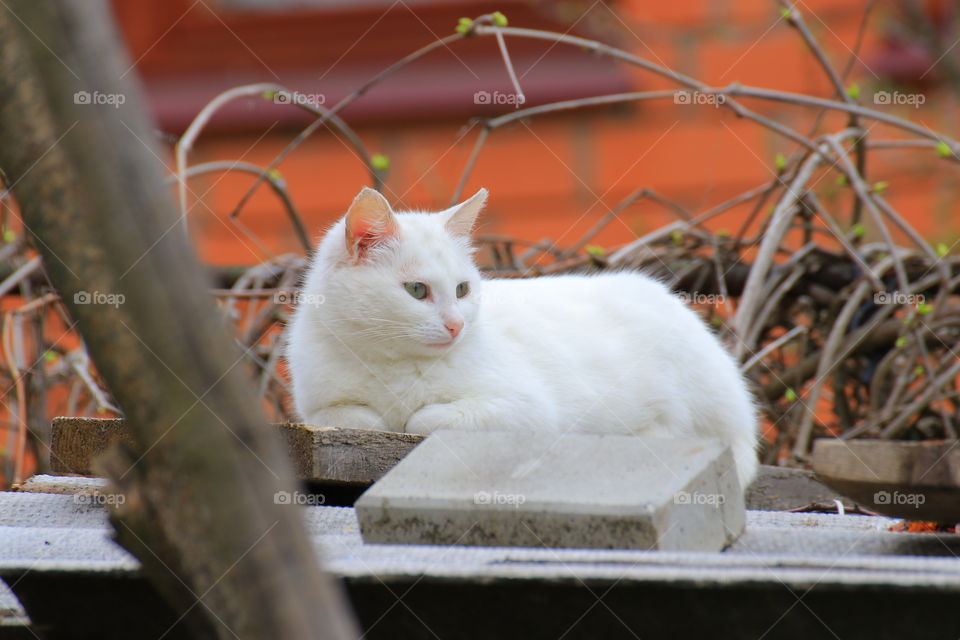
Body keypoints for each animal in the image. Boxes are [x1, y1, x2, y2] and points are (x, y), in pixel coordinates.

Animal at [284, 188, 756, 488]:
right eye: (417, 290)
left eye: (462, 289)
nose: (456, 325)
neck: (393, 364)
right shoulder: (320, 406)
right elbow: (359, 416)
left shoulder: (526, 410)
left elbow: (424, 419)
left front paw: (412, 415)